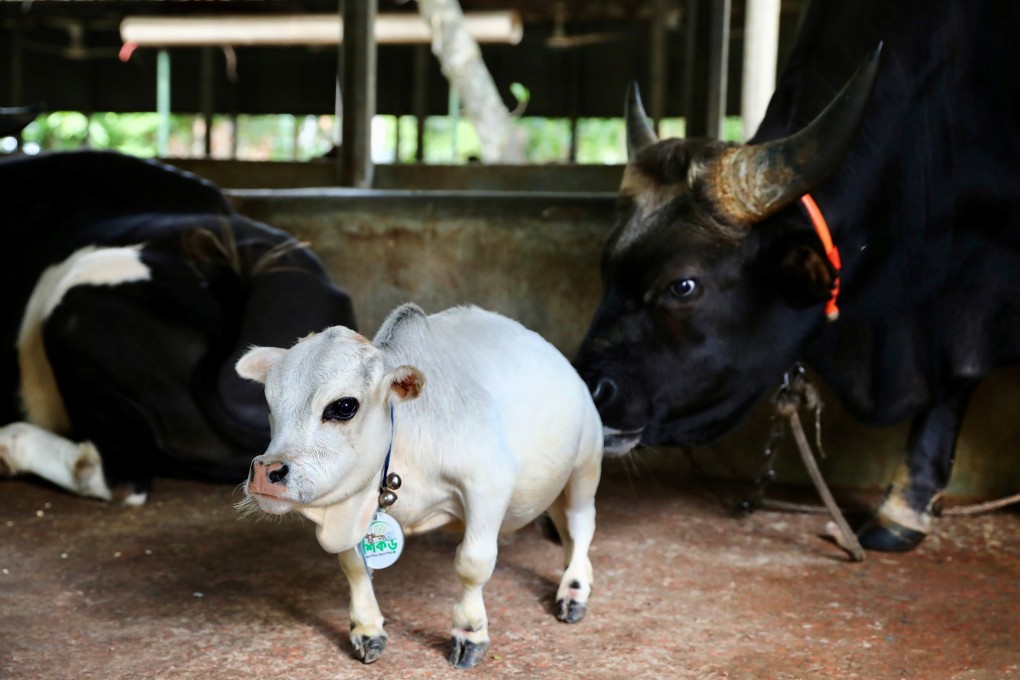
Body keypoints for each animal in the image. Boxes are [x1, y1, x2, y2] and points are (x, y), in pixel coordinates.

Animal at [235, 303, 603, 669]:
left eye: (344, 406)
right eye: (269, 404)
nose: (266, 471)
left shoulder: (488, 486)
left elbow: (473, 563)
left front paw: (470, 632)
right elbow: (354, 566)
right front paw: (367, 629)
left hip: (585, 465)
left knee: (580, 525)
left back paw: (574, 589)